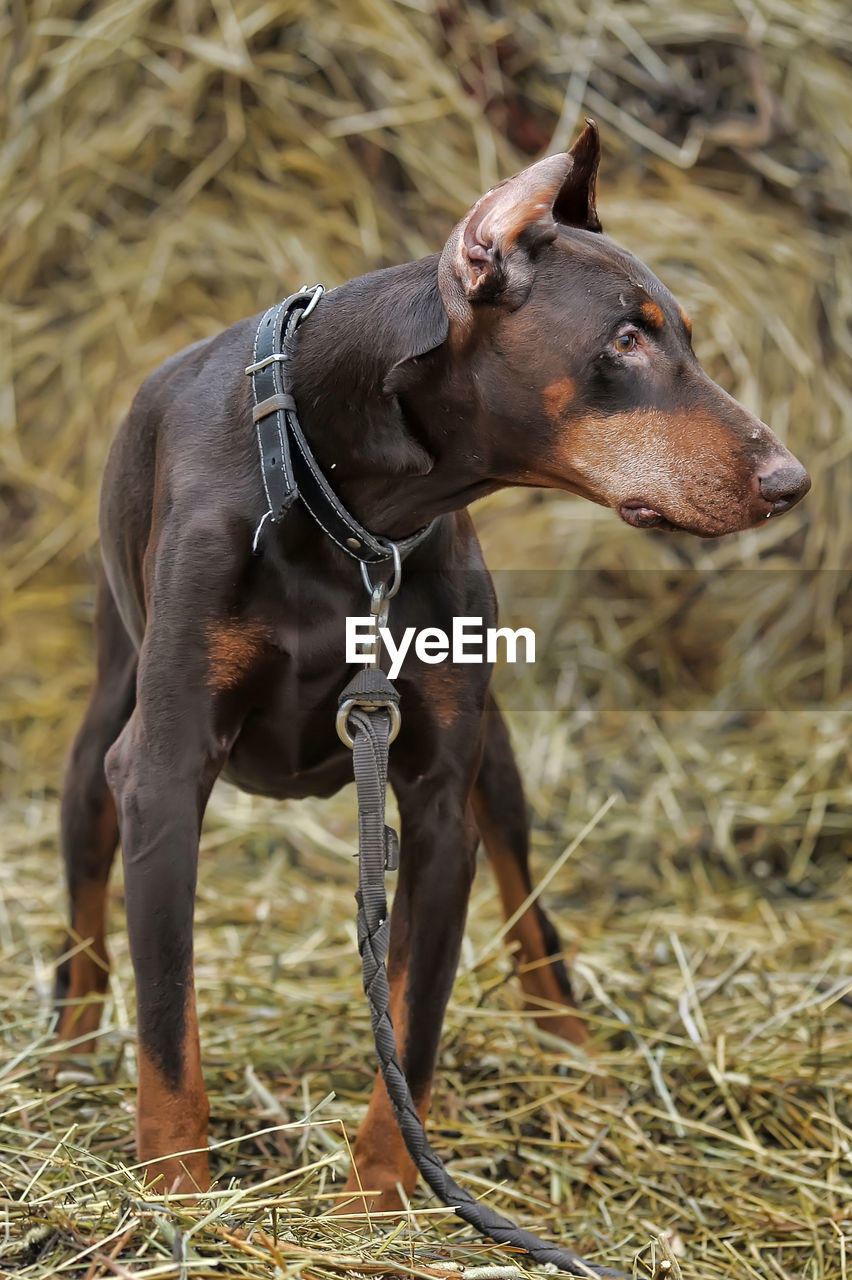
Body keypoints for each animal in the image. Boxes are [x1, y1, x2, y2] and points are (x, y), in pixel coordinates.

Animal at [54, 120, 808, 1198]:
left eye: (688, 337)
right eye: (626, 338)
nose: (792, 480)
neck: (345, 500)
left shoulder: (439, 796)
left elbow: (411, 1024)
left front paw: (377, 1201)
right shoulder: (161, 773)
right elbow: (167, 1022)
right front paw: (176, 1198)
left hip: (496, 759)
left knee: (533, 918)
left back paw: (575, 1065)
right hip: (102, 735)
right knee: (86, 917)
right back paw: (67, 1055)